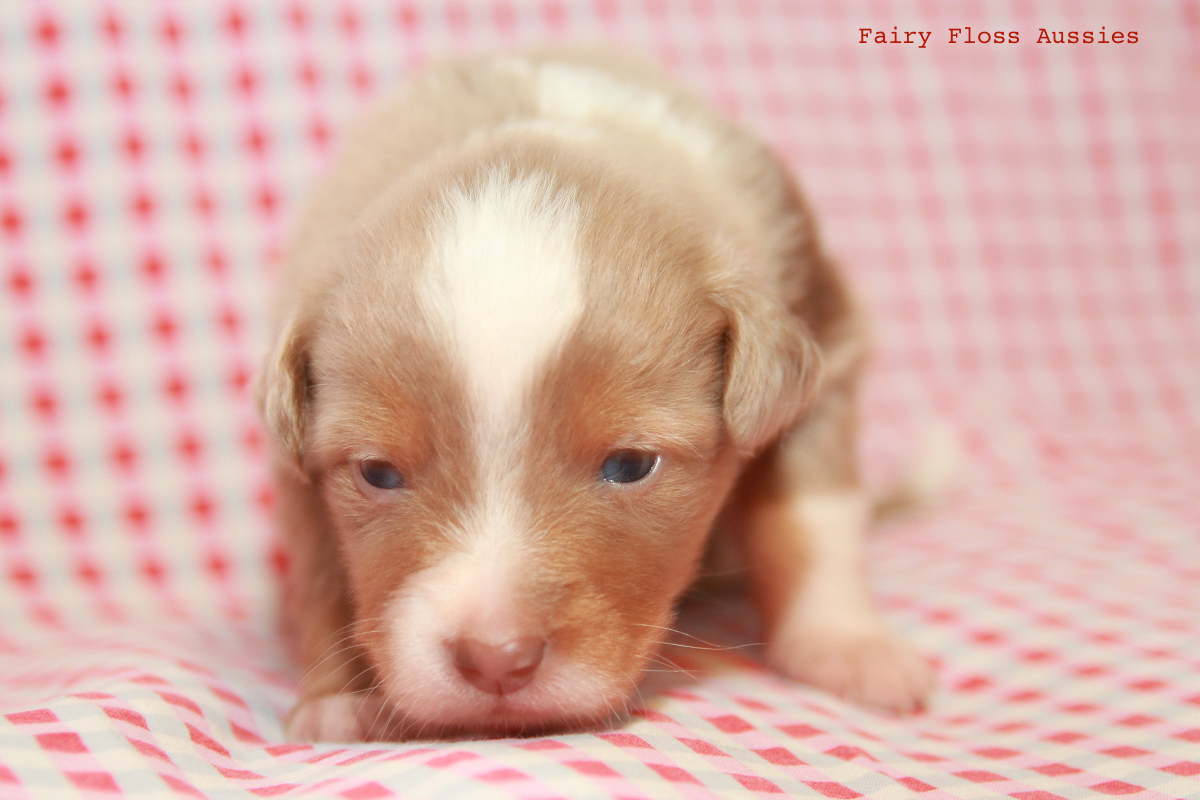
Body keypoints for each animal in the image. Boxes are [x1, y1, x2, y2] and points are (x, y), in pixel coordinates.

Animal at [258, 47, 931, 743]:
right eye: (377, 472)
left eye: (631, 465)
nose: (497, 660)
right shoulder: (296, 460)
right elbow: (321, 571)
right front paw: (338, 699)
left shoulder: (820, 344)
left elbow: (807, 516)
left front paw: (846, 644)